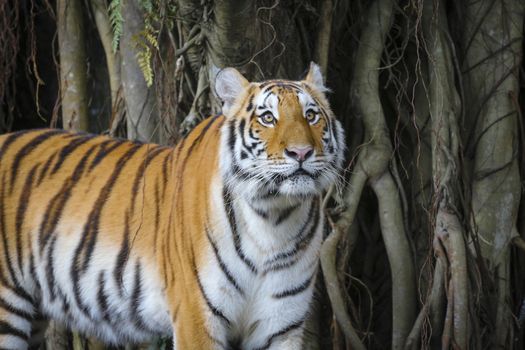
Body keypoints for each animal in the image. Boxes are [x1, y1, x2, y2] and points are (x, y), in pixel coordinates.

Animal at [0, 63, 344, 350]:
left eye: (311, 115)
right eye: (268, 118)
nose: (301, 153)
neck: (273, 217)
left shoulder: (280, 324)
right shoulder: (197, 318)